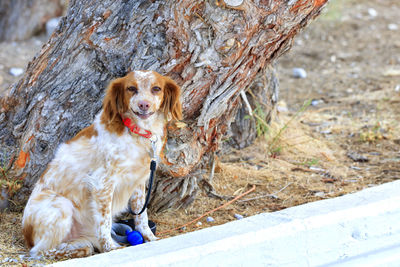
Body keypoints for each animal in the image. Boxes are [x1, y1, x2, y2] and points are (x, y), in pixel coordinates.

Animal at [21, 70, 181, 258]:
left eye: (156, 88)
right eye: (131, 88)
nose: (144, 104)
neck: (136, 132)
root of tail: (27, 233)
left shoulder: (138, 181)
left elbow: (142, 216)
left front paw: (150, 238)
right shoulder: (102, 183)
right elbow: (104, 221)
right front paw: (110, 248)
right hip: (62, 206)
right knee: (39, 251)